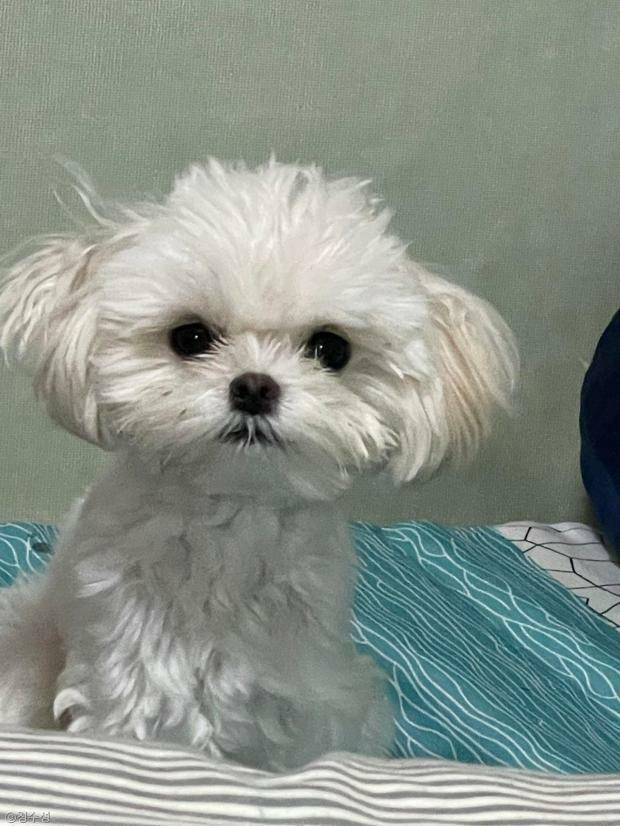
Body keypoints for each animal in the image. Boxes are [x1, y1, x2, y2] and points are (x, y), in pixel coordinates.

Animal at [0, 158, 518, 770]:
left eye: (330, 349)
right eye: (190, 337)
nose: (253, 386)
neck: (231, 518)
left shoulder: (300, 704)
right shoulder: (133, 684)